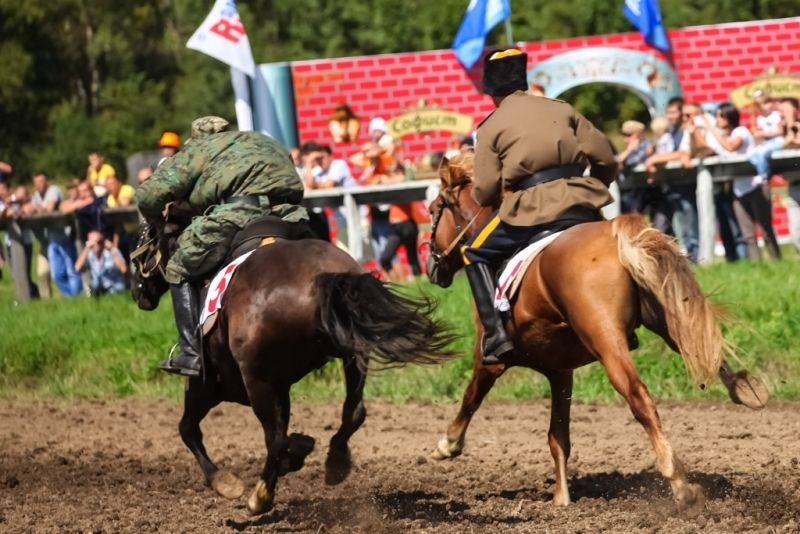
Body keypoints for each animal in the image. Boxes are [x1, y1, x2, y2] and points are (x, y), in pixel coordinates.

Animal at [133, 211, 456, 516]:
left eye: (144, 237)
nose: (139, 294)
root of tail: (320, 276)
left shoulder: (212, 386)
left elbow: (187, 428)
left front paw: (225, 482)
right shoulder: (277, 385)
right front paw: (301, 449)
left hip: (255, 382)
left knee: (273, 439)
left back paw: (260, 497)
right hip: (351, 353)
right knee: (353, 411)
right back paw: (335, 461)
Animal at [424, 153, 768, 512]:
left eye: (434, 209)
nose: (431, 265)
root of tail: (614, 233)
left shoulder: (490, 362)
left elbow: (470, 400)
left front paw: (448, 444)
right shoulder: (561, 372)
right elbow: (558, 437)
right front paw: (562, 499)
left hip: (608, 342)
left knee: (639, 397)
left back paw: (678, 481)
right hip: (667, 318)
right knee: (706, 352)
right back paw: (745, 390)